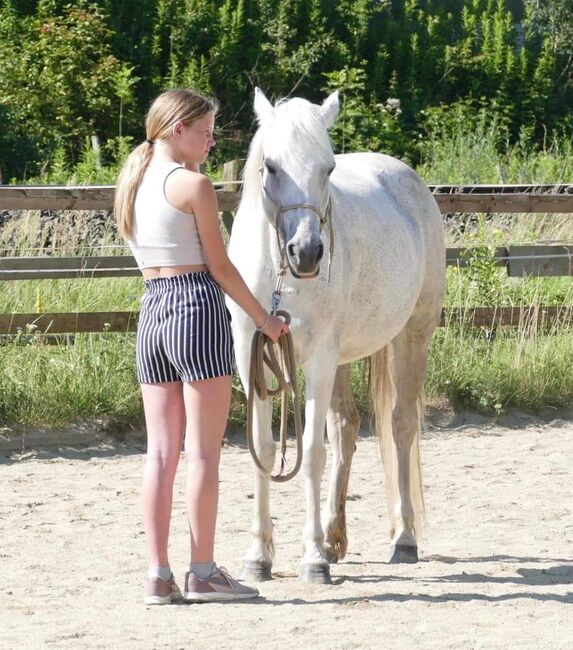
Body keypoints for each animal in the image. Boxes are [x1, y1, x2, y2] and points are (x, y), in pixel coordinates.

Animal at [226, 87, 444, 584]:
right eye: (271, 166)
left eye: (328, 168)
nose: (306, 253)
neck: (279, 280)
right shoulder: (251, 356)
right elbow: (263, 447)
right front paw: (259, 557)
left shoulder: (319, 360)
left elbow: (310, 452)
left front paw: (312, 560)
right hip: (345, 358)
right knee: (346, 426)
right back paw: (334, 537)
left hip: (411, 337)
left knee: (400, 426)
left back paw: (403, 539)